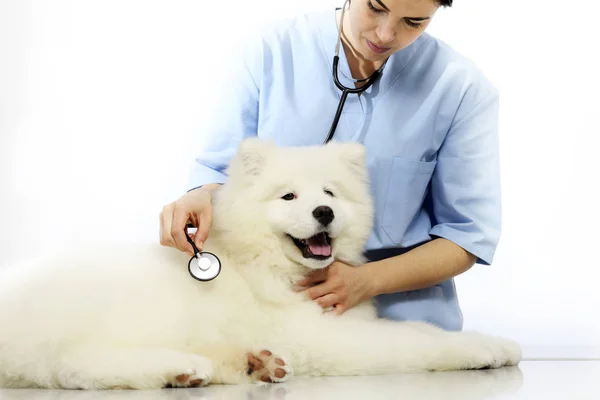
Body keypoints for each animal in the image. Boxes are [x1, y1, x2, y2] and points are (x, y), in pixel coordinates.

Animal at [0, 139, 520, 390]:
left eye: (330, 193)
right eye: (288, 196)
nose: (324, 213)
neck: (270, 266)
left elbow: (418, 333)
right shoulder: (329, 339)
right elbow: (419, 340)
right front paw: (491, 346)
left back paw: (249, 365)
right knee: (70, 366)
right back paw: (184, 368)